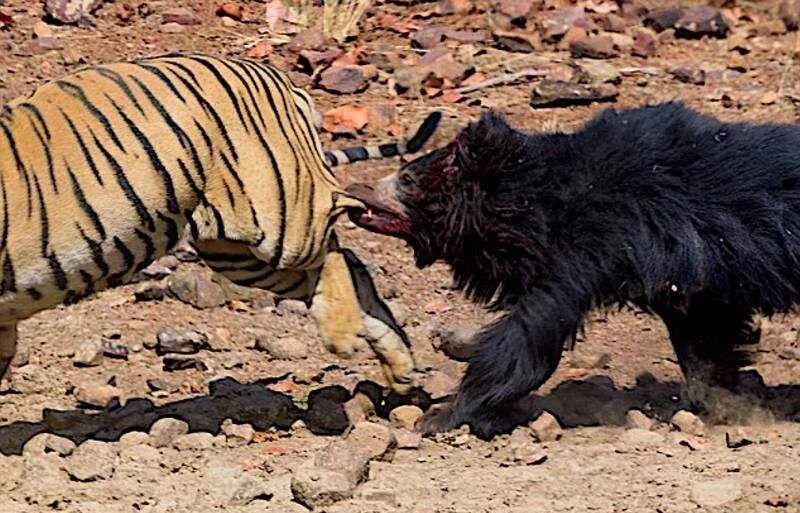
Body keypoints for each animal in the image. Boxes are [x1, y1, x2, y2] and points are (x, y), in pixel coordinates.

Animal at [0, 53, 440, 392]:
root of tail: (281, 80)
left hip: (284, 220)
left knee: (335, 242)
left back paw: (342, 336)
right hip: (237, 253)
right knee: (349, 264)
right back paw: (399, 367)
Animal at [346, 102, 800, 438]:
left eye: (408, 178)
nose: (354, 190)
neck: (532, 202)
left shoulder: (589, 248)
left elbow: (529, 335)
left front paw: (440, 415)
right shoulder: (687, 275)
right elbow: (704, 332)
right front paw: (722, 403)